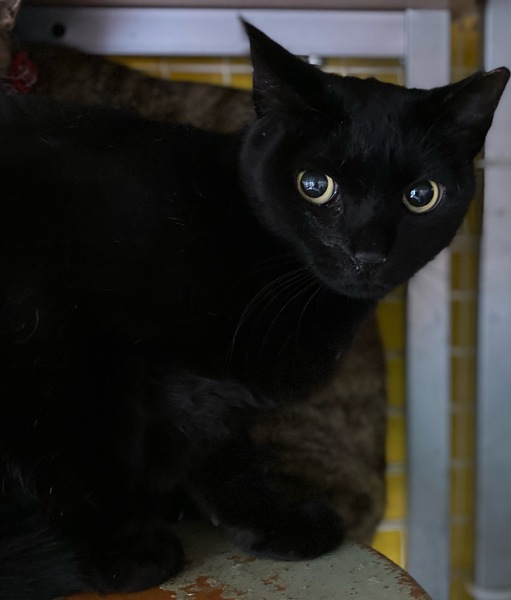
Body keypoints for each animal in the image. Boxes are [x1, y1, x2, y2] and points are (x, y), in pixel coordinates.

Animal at [0, 21, 508, 600]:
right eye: (314, 186)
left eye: (422, 195)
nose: (368, 253)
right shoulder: (74, 351)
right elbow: (88, 463)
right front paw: (124, 560)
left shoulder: (205, 391)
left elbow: (222, 458)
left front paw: (272, 529)